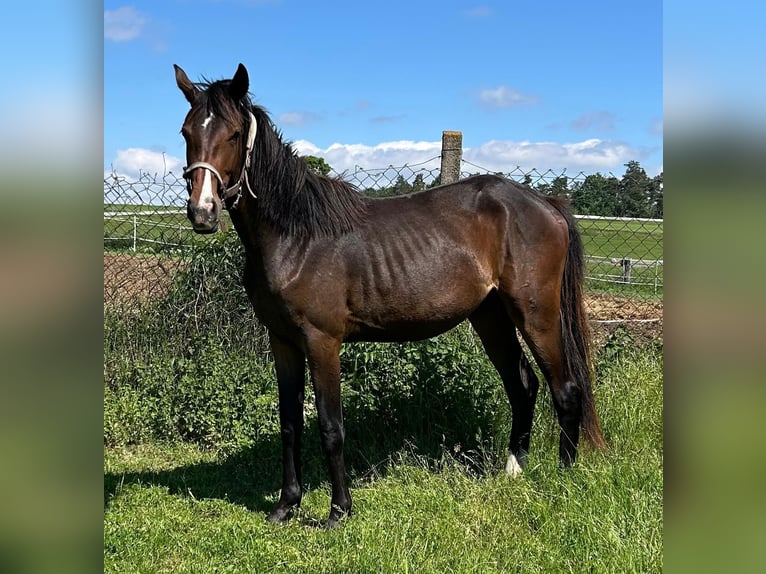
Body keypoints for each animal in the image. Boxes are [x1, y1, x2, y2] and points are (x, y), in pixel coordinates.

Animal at [174, 63, 605, 528]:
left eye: (234, 134)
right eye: (186, 131)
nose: (202, 212)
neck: (296, 237)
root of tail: (544, 202)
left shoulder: (322, 343)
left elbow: (330, 427)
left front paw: (338, 511)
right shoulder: (282, 341)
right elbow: (290, 423)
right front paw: (286, 506)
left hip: (535, 313)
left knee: (565, 388)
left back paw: (562, 477)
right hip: (491, 316)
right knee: (523, 385)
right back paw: (514, 470)